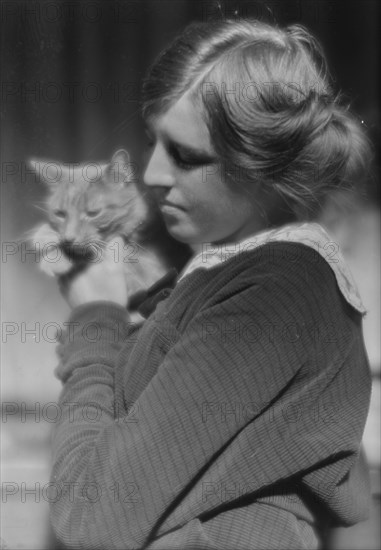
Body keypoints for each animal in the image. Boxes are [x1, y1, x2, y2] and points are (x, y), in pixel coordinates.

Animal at [29, 151, 166, 312]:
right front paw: (44, 234)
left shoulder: (145, 272)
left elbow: (90, 250)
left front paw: (56, 258)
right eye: (60, 214)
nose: (68, 238)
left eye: (93, 213)